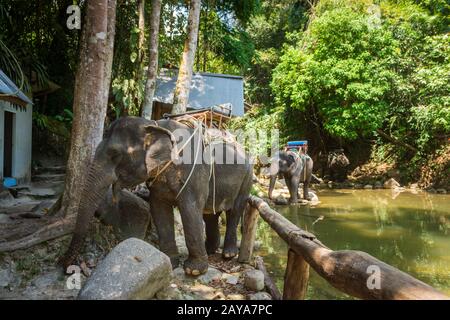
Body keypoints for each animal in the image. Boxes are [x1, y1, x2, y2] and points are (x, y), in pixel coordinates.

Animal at [59, 116, 253, 276]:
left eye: (115, 154)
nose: (66, 267)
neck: (155, 125)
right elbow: (159, 209)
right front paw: (169, 262)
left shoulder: (195, 173)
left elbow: (190, 210)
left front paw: (193, 271)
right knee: (210, 215)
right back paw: (210, 250)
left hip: (247, 178)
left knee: (235, 211)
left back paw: (228, 254)